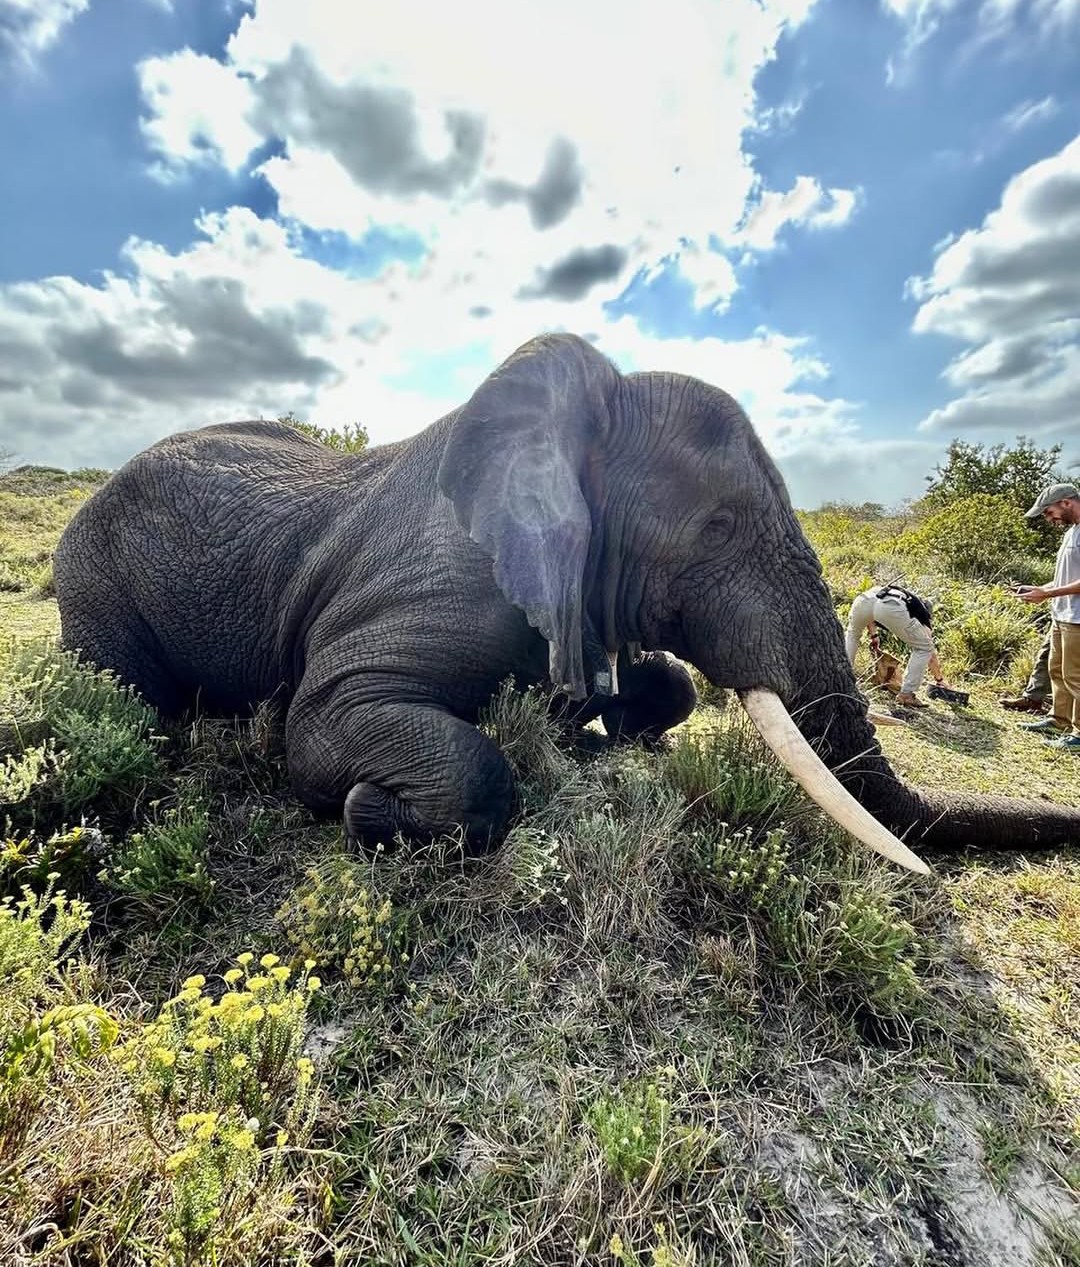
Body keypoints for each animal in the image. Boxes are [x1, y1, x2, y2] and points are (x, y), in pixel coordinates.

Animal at [54, 333, 1080, 872]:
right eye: (717, 527)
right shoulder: (437, 577)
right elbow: (330, 721)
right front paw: (366, 808)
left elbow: (669, 683)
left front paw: (603, 728)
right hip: (91, 581)